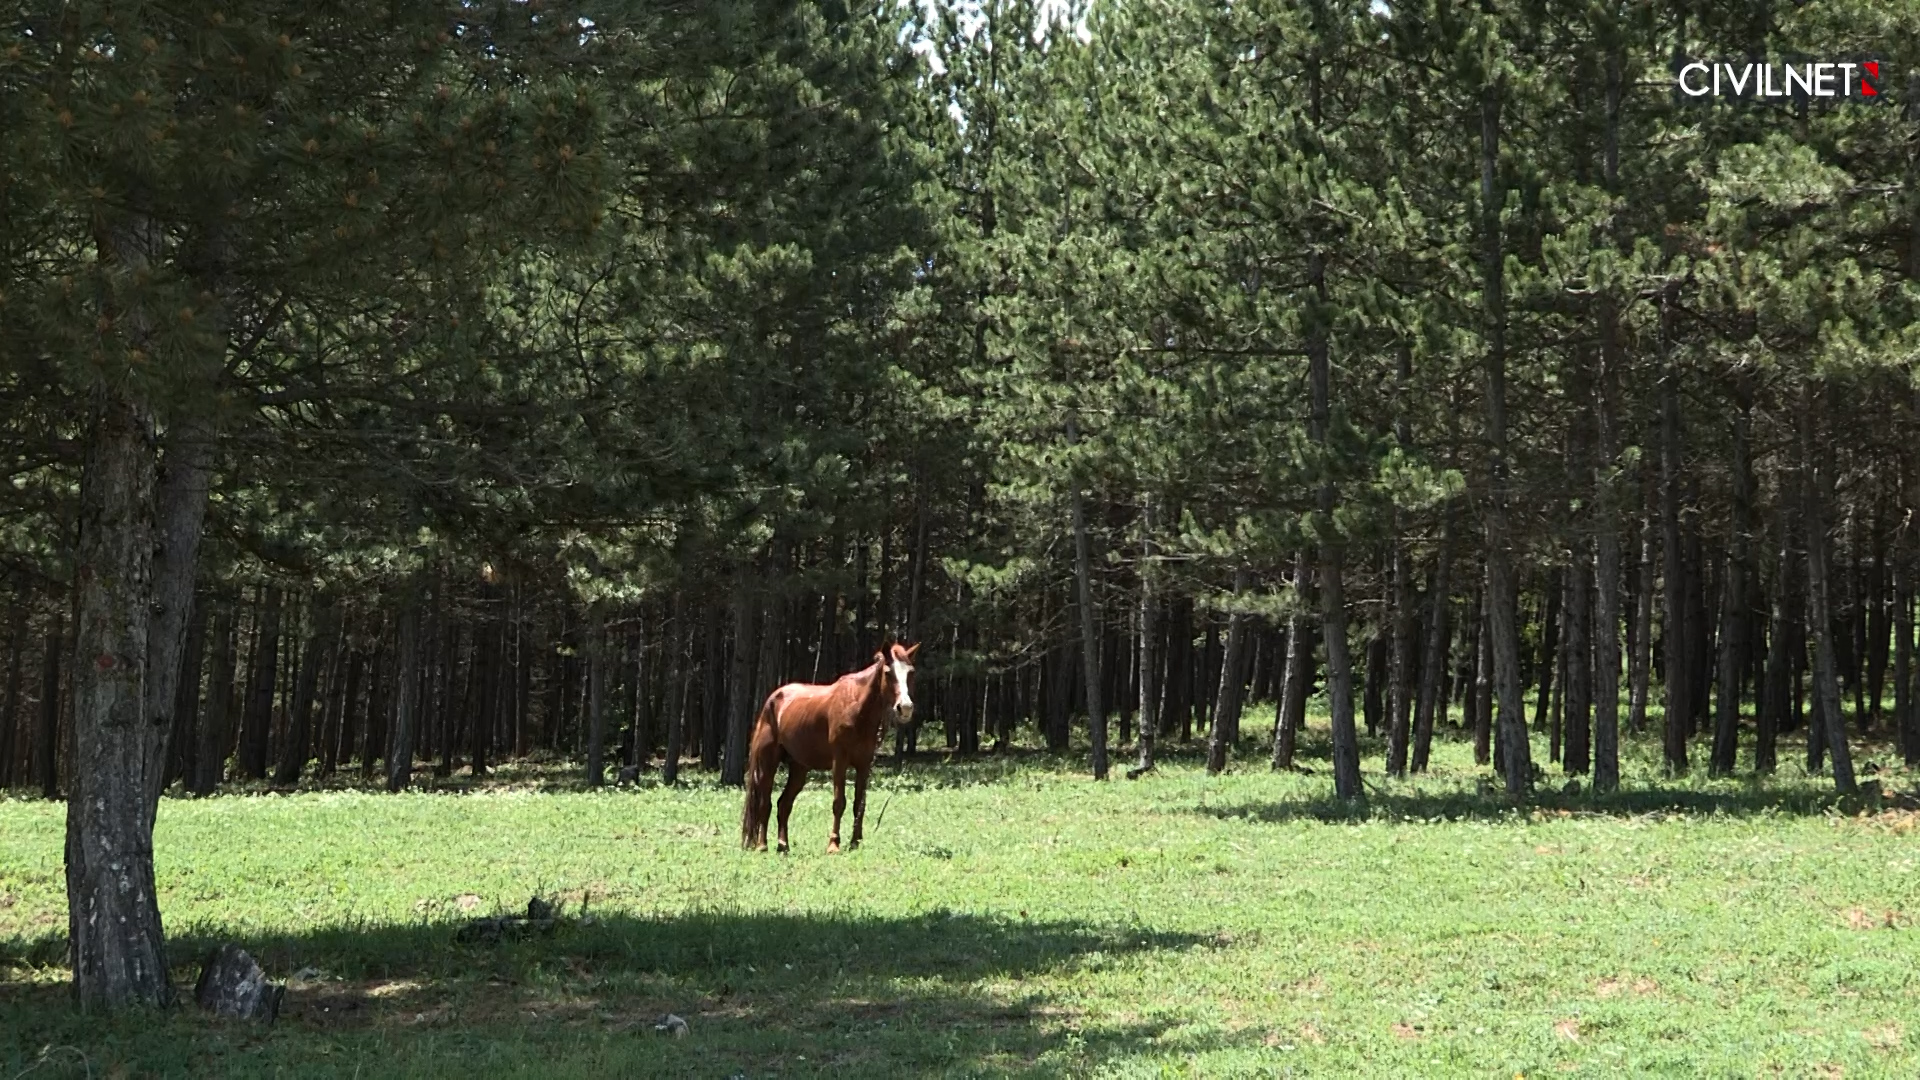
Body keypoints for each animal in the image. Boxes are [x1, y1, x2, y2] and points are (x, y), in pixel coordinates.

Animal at [737, 638, 917, 849]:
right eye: (888, 672)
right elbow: (839, 802)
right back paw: (762, 846)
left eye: (910, 672)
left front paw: (855, 842)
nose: (905, 708)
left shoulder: (864, 764)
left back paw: (783, 846)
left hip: (799, 768)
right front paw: (834, 844)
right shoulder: (839, 762)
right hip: (768, 764)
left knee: (784, 804)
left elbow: (859, 804)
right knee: (765, 803)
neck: (856, 708)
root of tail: (771, 701)